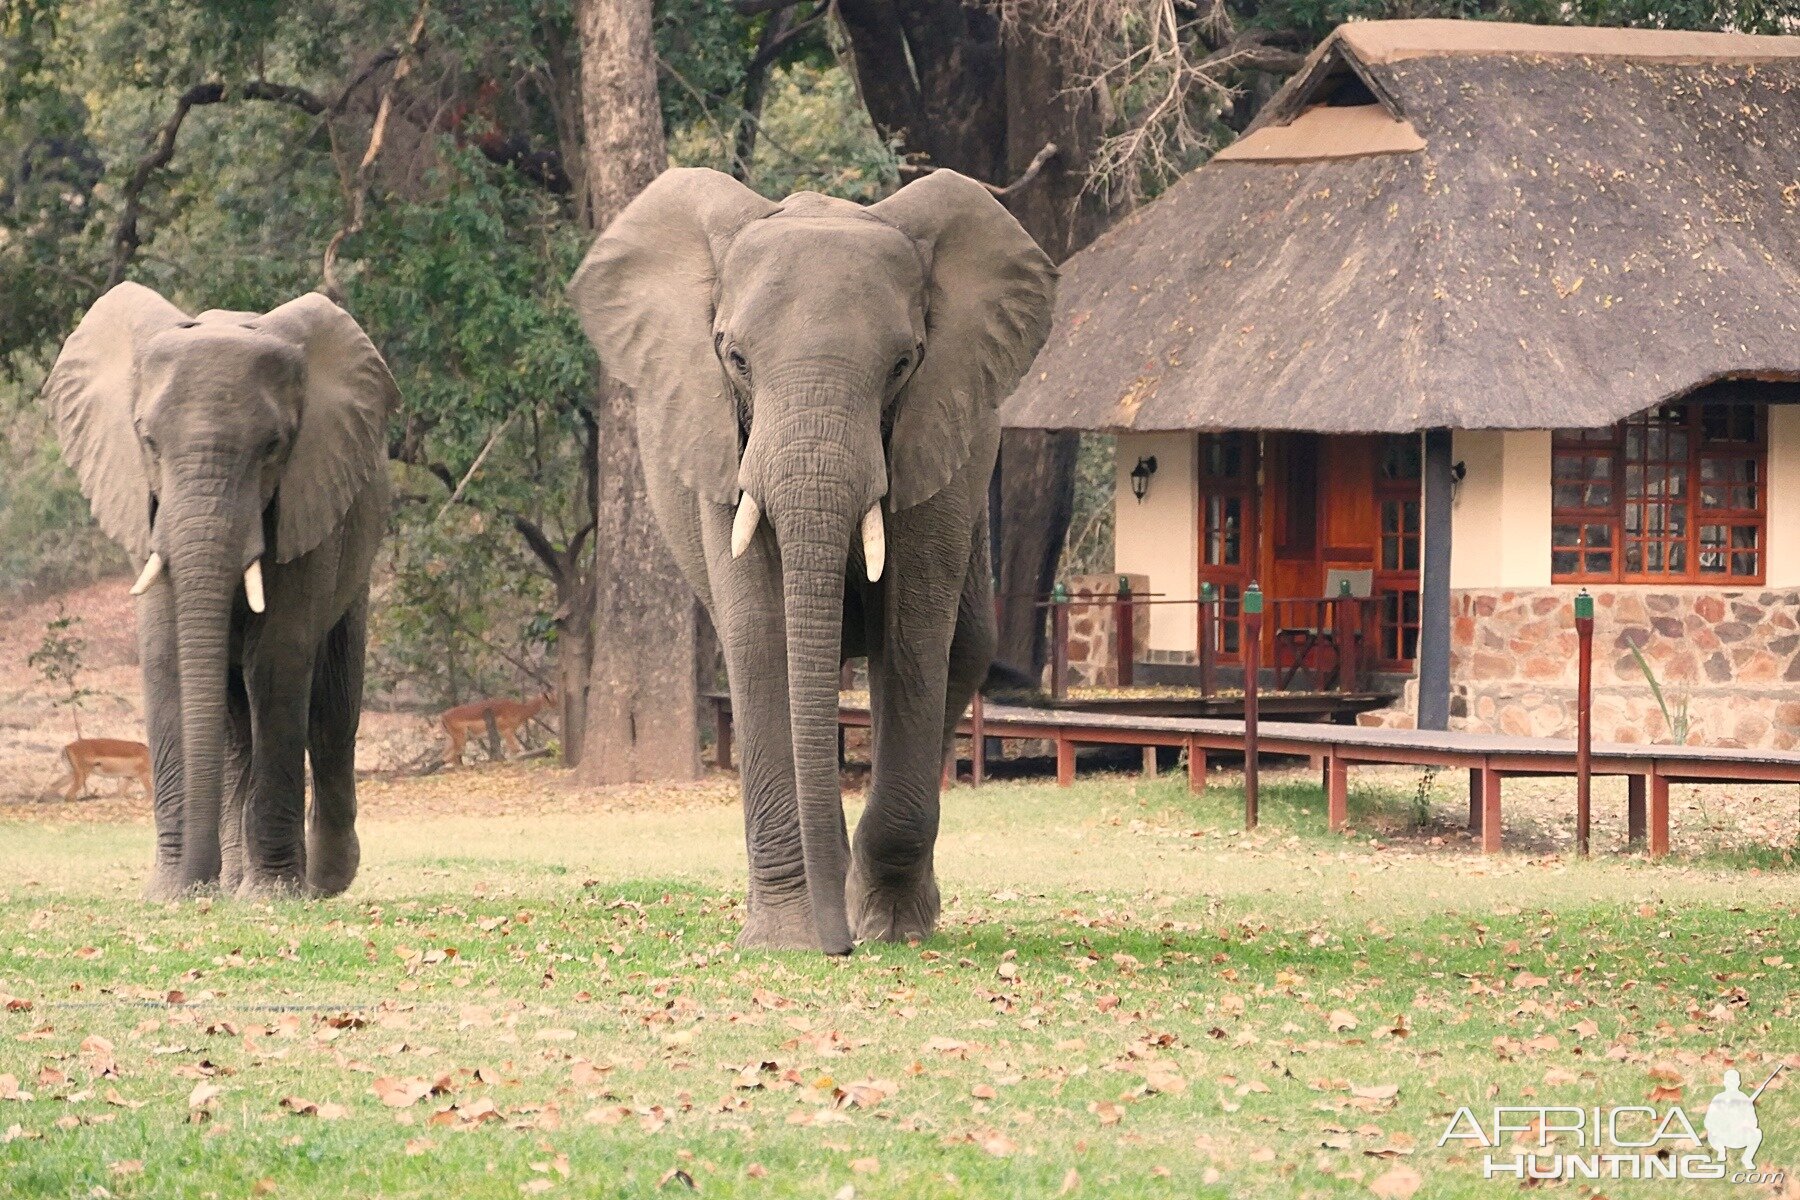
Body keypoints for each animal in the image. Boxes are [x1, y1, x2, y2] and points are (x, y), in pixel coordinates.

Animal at [44, 284, 397, 899]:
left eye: (274, 446)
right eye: (147, 441)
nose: (196, 883)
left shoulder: (308, 502)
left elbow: (278, 663)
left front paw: (273, 897)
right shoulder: (146, 511)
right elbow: (166, 660)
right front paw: (171, 893)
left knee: (331, 711)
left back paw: (321, 882)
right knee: (236, 727)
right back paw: (237, 881)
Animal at [572, 170, 1051, 957]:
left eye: (903, 364)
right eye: (735, 359)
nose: (839, 947)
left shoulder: (939, 439)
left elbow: (914, 638)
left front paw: (887, 929)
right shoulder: (721, 444)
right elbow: (760, 635)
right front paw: (785, 941)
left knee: (964, 652)